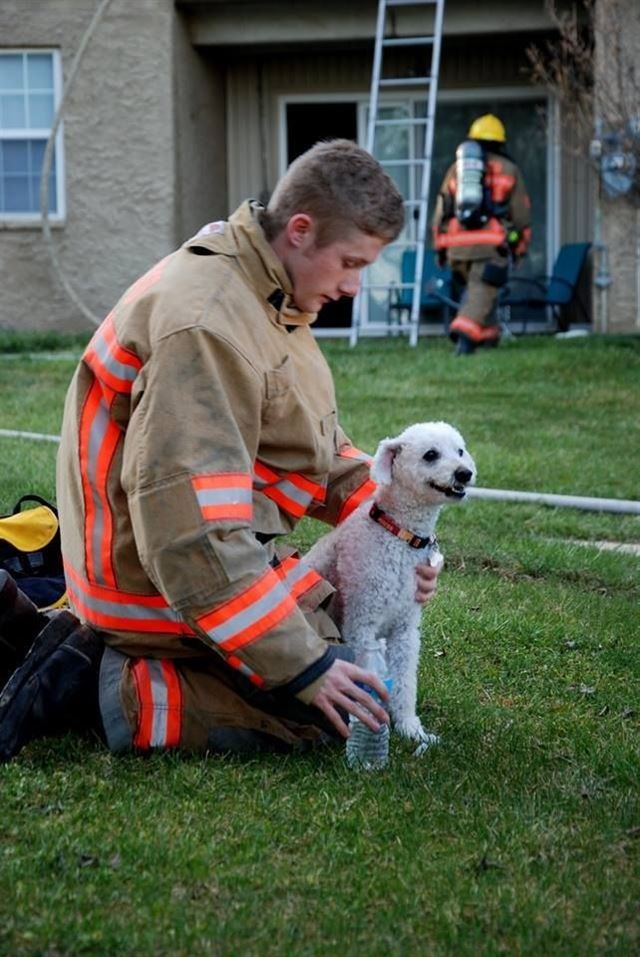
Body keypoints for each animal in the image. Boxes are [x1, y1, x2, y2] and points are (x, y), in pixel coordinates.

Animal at [302, 422, 476, 752]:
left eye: (460, 451)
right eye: (430, 455)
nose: (465, 473)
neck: (399, 535)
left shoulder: (405, 630)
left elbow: (405, 682)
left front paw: (411, 729)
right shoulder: (362, 624)